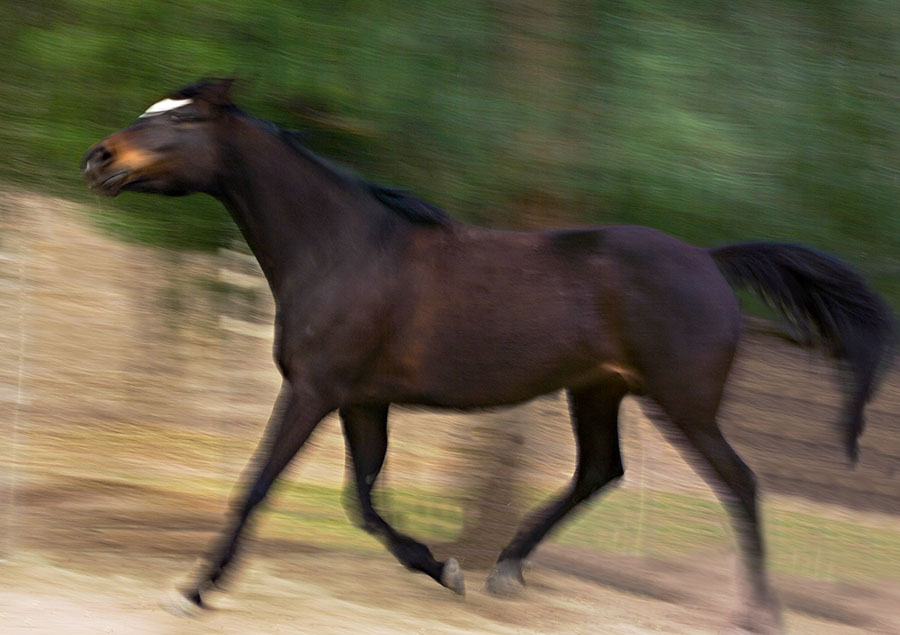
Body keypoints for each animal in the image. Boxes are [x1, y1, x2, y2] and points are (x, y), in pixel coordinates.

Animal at [82, 79, 894, 632]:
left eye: (180, 118)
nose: (97, 158)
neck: (343, 249)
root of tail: (710, 260)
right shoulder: (361, 399)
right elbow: (362, 501)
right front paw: (443, 569)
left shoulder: (314, 390)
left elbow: (258, 486)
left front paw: (193, 588)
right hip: (597, 391)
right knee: (601, 471)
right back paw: (505, 568)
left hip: (683, 403)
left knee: (741, 484)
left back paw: (758, 615)